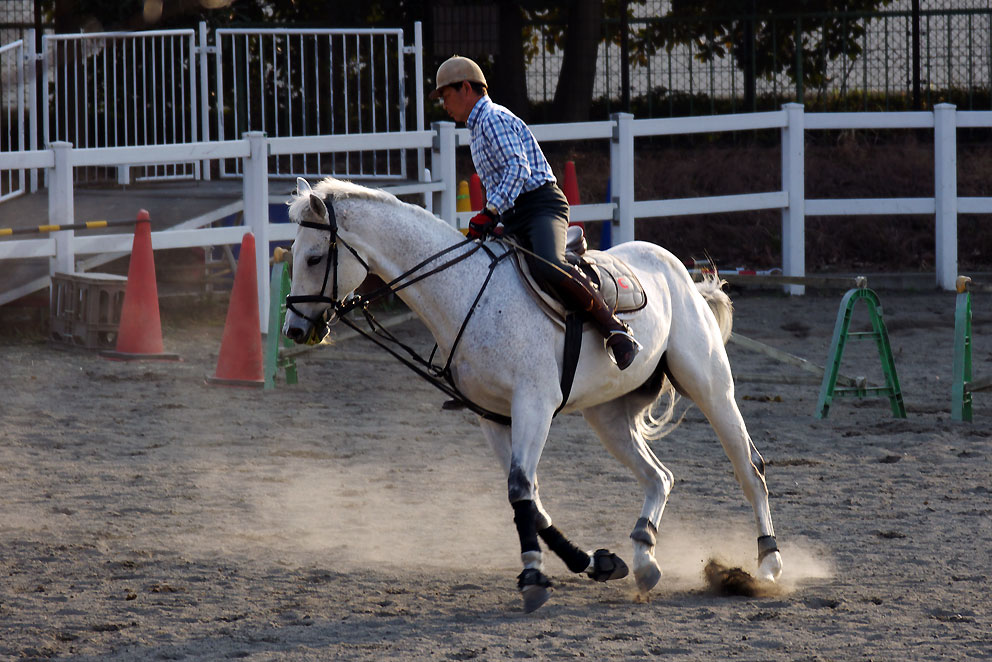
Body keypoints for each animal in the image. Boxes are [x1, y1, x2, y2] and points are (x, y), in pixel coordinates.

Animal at [280, 176, 784, 612]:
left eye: (313, 259)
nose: (295, 330)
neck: (466, 293)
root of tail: (675, 266)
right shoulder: (493, 417)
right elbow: (532, 500)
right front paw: (594, 562)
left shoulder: (534, 407)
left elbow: (521, 490)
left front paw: (534, 577)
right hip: (607, 417)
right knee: (659, 477)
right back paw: (644, 558)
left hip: (710, 386)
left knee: (749, 469)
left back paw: (768, 564)